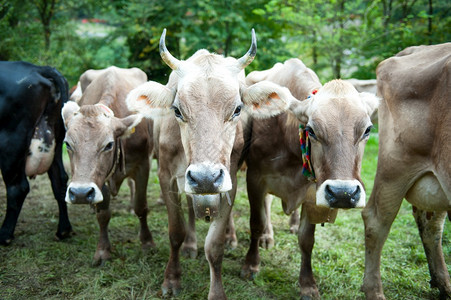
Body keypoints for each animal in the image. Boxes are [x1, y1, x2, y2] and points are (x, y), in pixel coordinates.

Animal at [0, 60, 71, 244]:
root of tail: (38, 68)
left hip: (11, 141)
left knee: (18, 188)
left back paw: (4, 235)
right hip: (56, 139)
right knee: (60, 180)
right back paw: (63, 230)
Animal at [61, 66, 154, 264]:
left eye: (109, 145)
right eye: (68, 144)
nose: (80, 193)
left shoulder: (144, 164)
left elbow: (141, 206)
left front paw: (147, 242)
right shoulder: (99, 179)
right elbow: (103, 214)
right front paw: (103, 250)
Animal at [126, 28, 304, 300]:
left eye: (238, 109)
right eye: (177, 110)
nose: (205, 178)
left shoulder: (229, 178)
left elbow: (215, 245)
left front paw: (217, 289)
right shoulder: (166, 175)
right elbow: (175, 231)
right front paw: (172, 279)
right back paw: (191, 244)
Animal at [242, 58, 380, 298]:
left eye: (367, 130)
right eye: (312, 130)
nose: (343, 193)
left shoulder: (311, 192)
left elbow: (307, 240)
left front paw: (307, 284)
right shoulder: (255, 178)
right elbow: (256, 222)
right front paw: (251, 264)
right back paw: (266, 237)